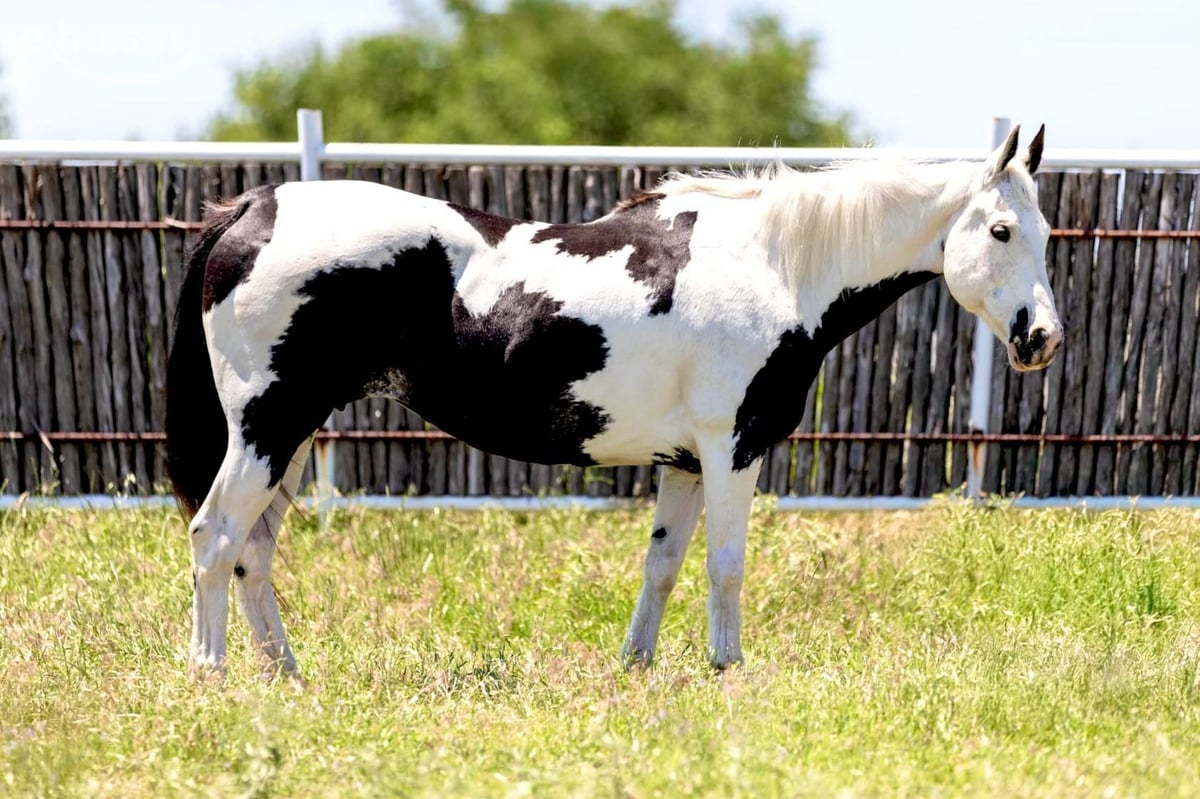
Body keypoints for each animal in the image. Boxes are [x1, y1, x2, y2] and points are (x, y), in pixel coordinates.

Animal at [166, 125, 1062, 681]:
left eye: (1048, 234)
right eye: (1002, 231)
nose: (1041, 337)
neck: (776, 265)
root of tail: (255, 209)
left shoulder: (687, 461)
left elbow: (663, 564)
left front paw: (637, 665)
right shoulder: (734, 448)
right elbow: (727, 564)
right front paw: (728, 669)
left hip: (291, 435)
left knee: (253, 551)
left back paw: (287, 673)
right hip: (267, 426)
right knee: (215, 536)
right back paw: (212, 673)